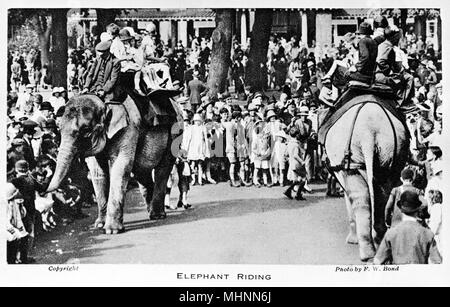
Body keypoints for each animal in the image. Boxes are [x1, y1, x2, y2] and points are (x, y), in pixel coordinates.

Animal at [45, 95, 179, 235]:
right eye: (59, 129)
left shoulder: (128, 129)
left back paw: (157, 216)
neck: (106, 103)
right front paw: (99, 225)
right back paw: (150, 212)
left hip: (174, 134)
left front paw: (111, 230)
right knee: (141, 172)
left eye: (86, 131)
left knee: (162, 169)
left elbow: (120, 167)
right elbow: (97, 172)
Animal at [318, 94, 410, 262]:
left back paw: (366, 253)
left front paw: (352, 240)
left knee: (360, 198)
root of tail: (369, 131)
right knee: (381, 195)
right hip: (389, 151)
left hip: (348, 155)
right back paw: (379, 242)